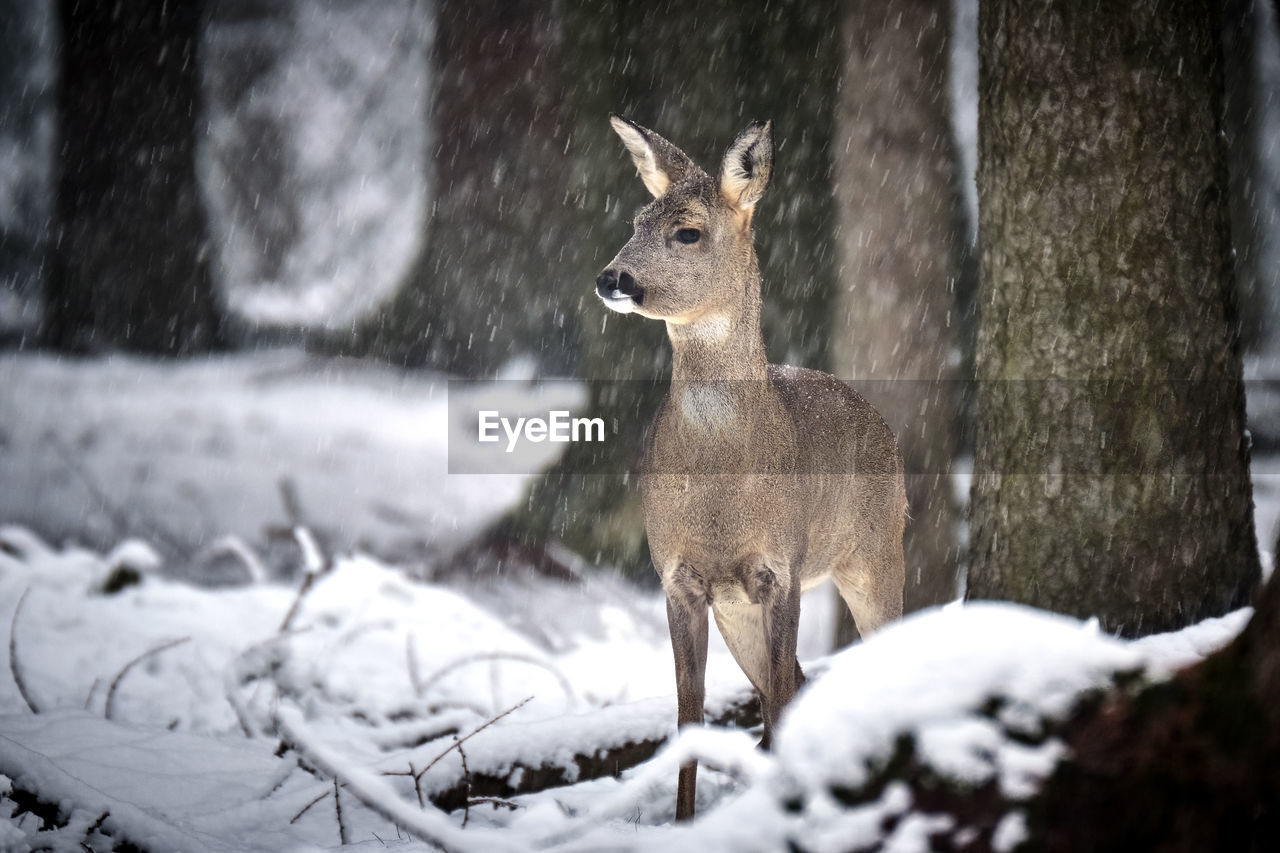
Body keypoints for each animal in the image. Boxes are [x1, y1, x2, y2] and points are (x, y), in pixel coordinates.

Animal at [593, 116, 906, 819]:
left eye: (687, 230)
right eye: (636, 218)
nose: (611, 278)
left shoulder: (781, 566)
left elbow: (779, 694)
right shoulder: (677, 575)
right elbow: (689, 712)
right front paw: (684, 821)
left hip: (876, 552)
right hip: (738, 606)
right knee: (785, 687)